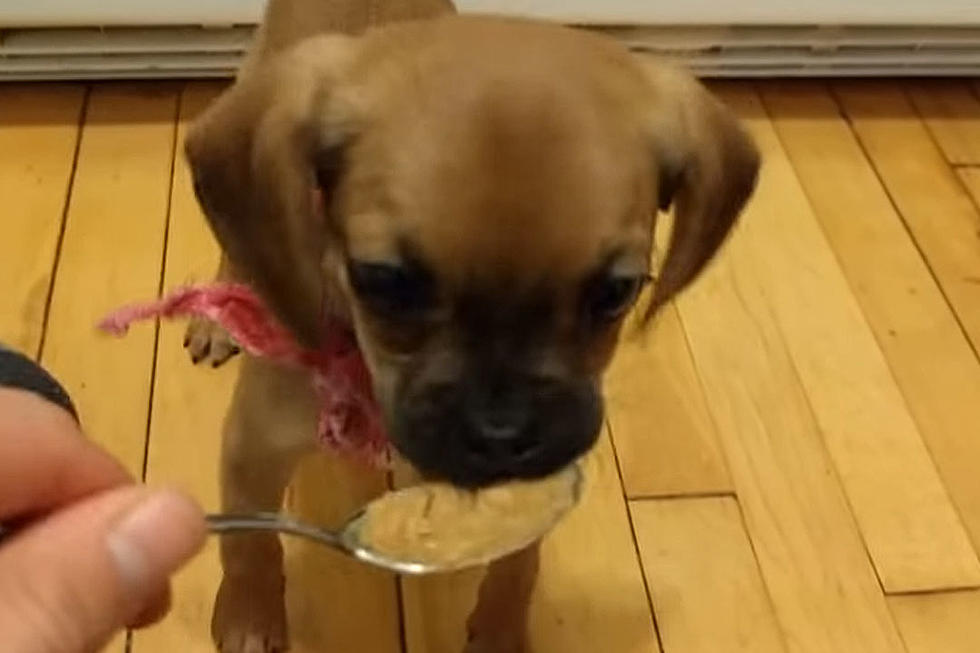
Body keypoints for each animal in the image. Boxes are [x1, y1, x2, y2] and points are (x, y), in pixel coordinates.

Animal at [188, 2, 760, 648]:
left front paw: (500, 631)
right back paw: (218, 319)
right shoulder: (253, 447)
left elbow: (517, 565)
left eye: (615, 292)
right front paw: (249, 618)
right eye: (385, 282)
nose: (502, 434)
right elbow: (249, 543)